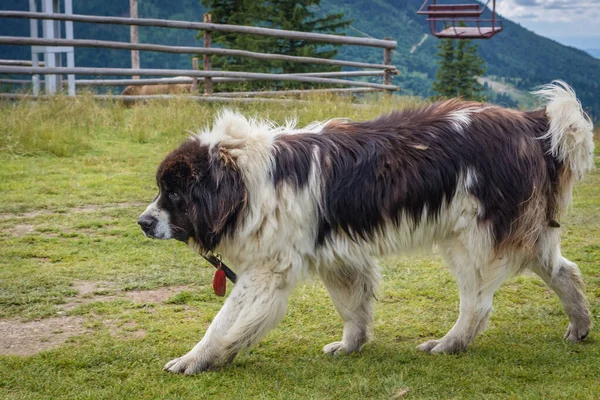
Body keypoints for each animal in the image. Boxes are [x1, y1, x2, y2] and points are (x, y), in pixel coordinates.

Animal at [138, 81, 592, 376]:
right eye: (162, 189)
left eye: (173, 193)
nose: (142, 222)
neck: (247, 180)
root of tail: (528, 122)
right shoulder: (337, 255)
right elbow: (352, 306)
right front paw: (350, 346)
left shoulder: (267, 271)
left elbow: (224, 322)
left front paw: (196, 359)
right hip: (526, 235)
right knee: (564, 271)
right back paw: (580, 327)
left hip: (468, 239)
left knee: (477, 305)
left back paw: (449, 344)